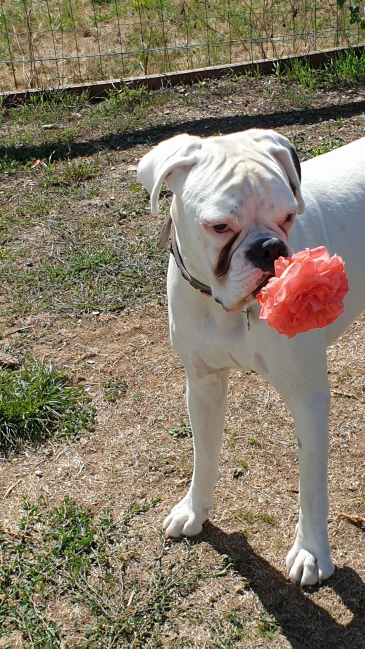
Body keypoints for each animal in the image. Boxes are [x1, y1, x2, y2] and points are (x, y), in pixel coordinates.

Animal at [137, 129, 364, 584]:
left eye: (289, 216)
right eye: (219, 226)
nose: (269, 248)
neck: (230, 311)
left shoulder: (309, 401)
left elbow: (312, 485)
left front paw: (311, 551)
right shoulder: (203, 385)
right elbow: (204, 455)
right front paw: (195, 510)